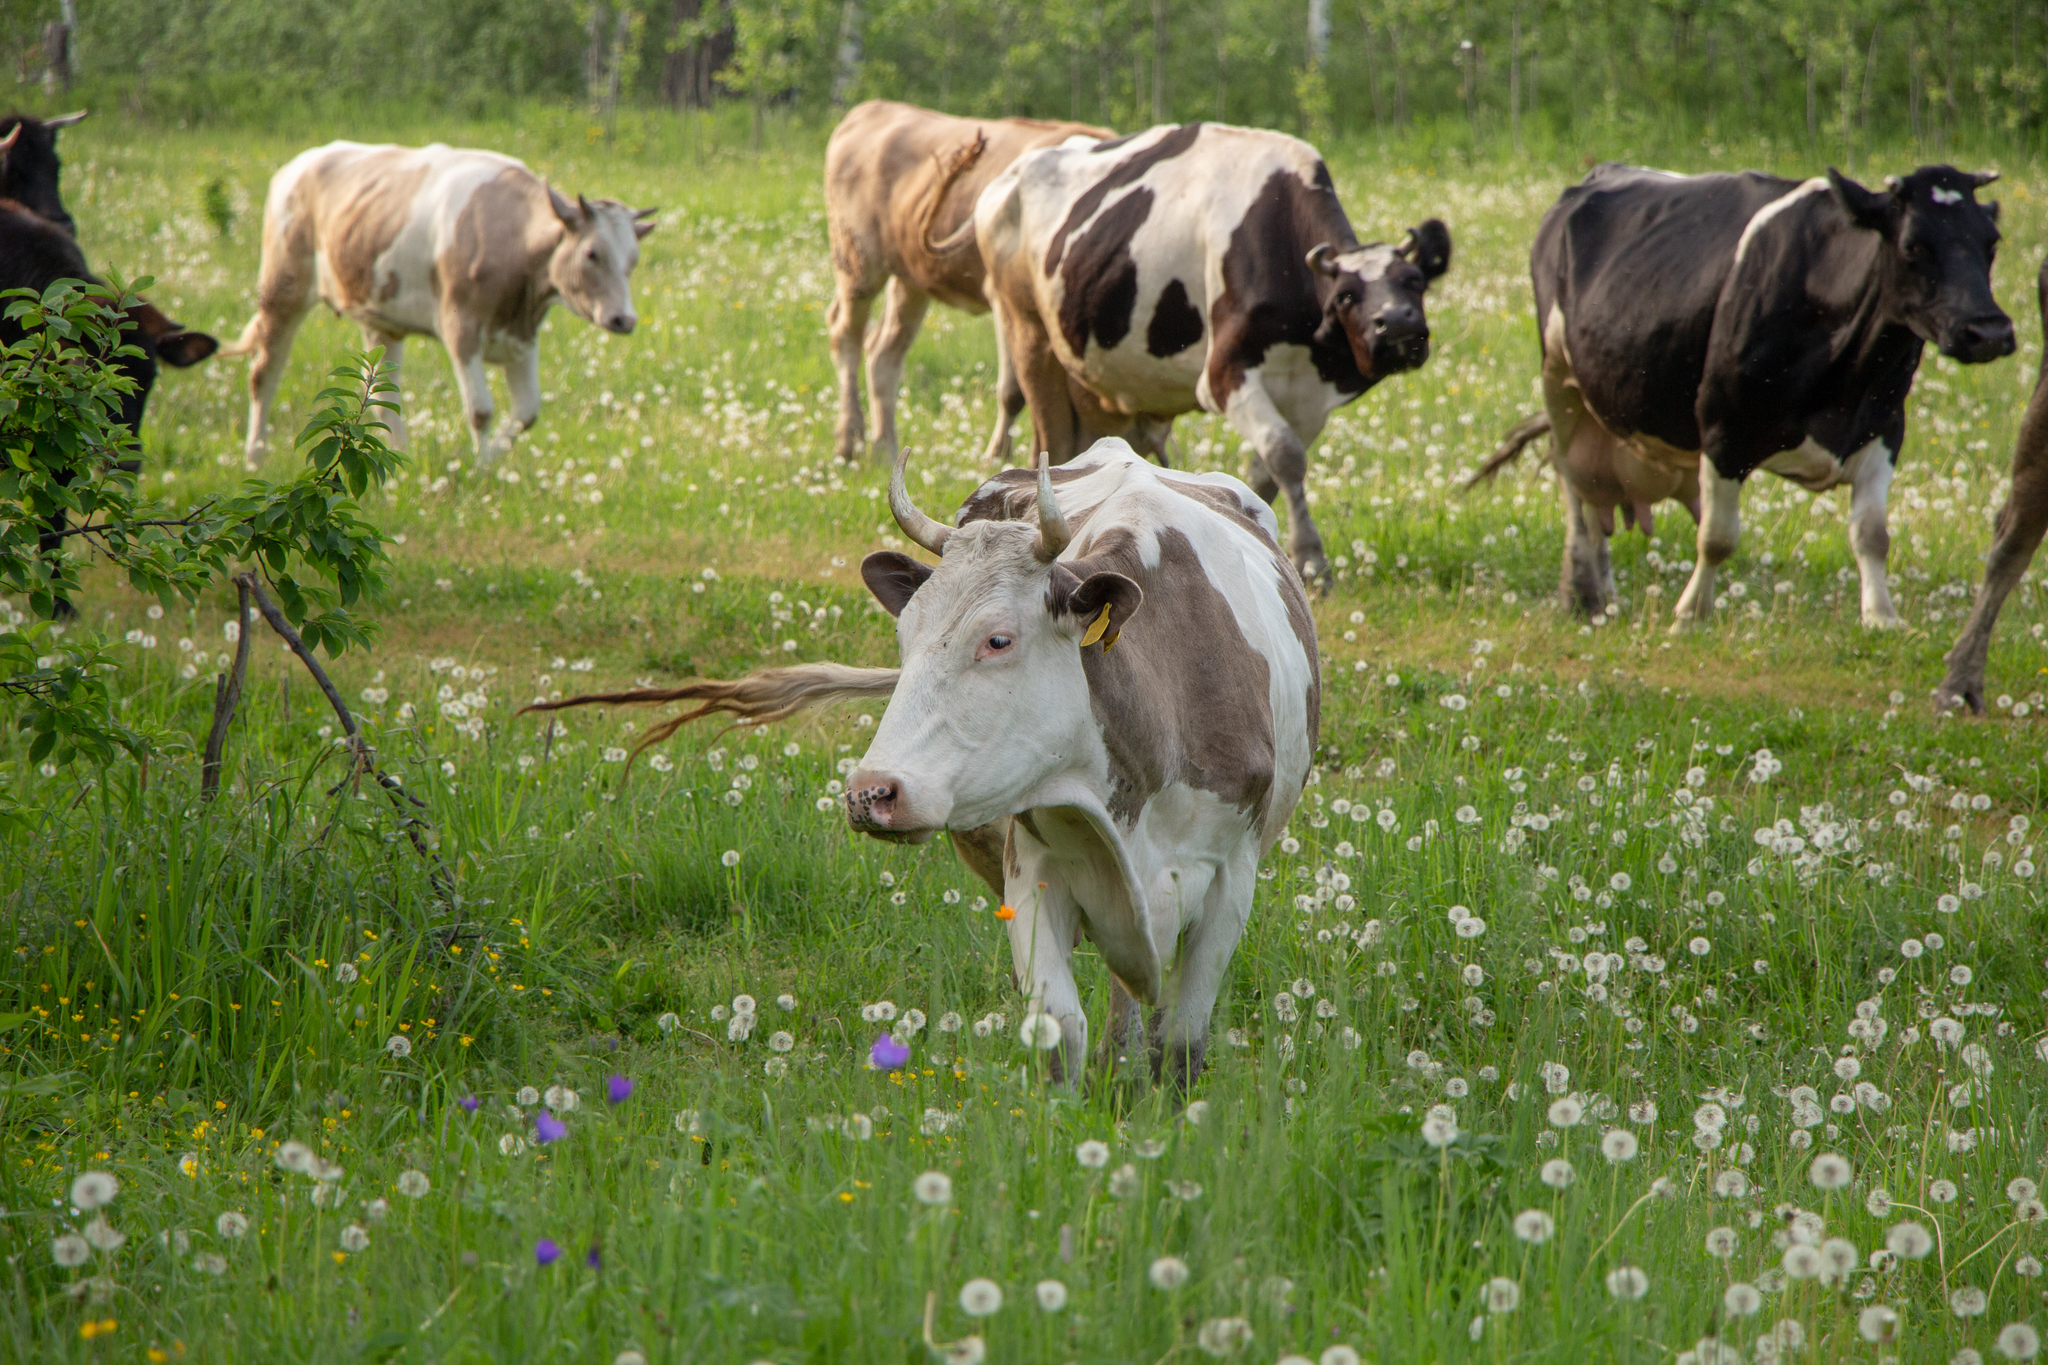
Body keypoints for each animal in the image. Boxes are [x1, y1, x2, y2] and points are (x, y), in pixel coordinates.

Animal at [218, 139, 647, 470]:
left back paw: (398, 463)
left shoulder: (521, 338)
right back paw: (254, 458)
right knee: (265, 373)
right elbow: (481, 409)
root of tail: (302, 162)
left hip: (381, 320)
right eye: (592, 254)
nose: (624, 319)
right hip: (283, 290)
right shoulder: (461, 329)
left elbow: (527, 413)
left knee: (384, 399)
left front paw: (493, 463)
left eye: (633, 260)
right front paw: (481, 471)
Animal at [528, 444, 1318, 1096]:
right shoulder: (1034, 871)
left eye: (997, 639)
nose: (870, 792)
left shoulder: (1231, 882)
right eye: (905, 634)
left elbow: (1179, 1043)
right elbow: (1060, 1029)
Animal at [966, 118, 1449, 581]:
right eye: (1347, 295)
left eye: (1415, 281)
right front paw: (1312, 560)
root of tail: (1008, 176)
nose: (1398, 324)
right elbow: (1286, 455)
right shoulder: (1225, 375)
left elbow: (1268, 471)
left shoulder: (1309, 395)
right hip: (1027, 332)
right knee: (1051, 436)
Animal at [1474, 161, 2015, 630]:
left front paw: (1881, 617)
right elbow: (1716, 537)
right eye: (1911, 245)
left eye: (1991, 243)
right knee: (1579, 494)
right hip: (1561, 381)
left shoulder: (1884, 427)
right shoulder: (1723, 427)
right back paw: (1586, 596)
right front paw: (1690, 615)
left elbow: (1872, 534)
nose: (1988, 331)